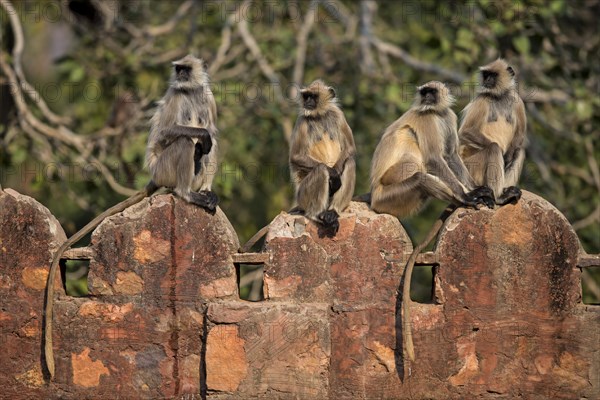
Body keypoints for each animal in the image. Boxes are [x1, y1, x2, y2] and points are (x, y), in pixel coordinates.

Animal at [44, 54, 218, 380]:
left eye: (185, 69)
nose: (178, 76)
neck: (190, 92)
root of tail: (155, 177)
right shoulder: (177, 97)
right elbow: (168, 133)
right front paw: (197, 137)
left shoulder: (208, 97)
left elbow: (212, 132)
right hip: (164, 168)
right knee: (188, 142)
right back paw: (187, 192)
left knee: (208, 144)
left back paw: (203, 191)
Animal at [290, 79, 356, 236]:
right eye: (306, 96)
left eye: (313, 96)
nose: (307, 102)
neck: (319, 116)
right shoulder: (302, 122)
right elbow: (295, 156)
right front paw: (334, 174)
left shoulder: (338, 114)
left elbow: (350, 148)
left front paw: (336, 173)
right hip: (302, 196)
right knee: (321, 169)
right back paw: (317, 214)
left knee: (350, 162)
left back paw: (333, 212)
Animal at [458, 58, 528, 206]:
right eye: (486, 74)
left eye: (493, 75)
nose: (487, 80)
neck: (499, 96)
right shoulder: (482, 100)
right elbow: (466, 131)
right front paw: (503, 155)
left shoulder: (517, 100)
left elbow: (519, 134)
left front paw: (508, 157)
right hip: (471, 168)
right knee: (494, 148)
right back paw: (499, 197)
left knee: (519, 150)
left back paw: (505, 191)